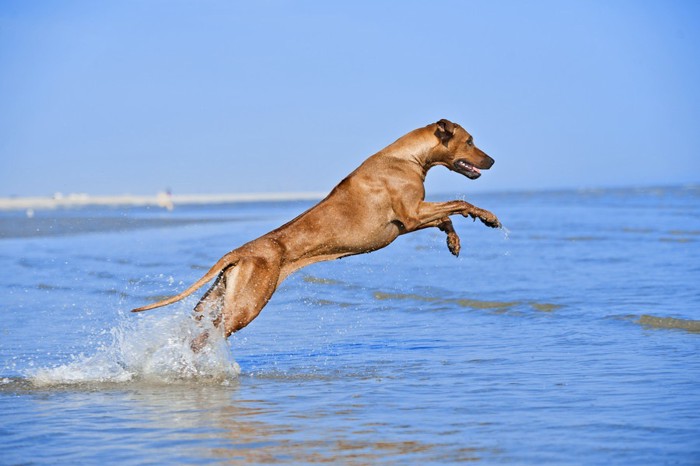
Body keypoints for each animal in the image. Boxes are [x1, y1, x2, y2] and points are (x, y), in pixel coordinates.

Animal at [131, 118, 500, 348]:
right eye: (470, 141)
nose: (493, 161)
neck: (407, 157)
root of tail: (239, 252)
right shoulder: (411, 215)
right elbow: (457, 202)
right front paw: (488, 216)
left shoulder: (414, 217)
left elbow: (446, 217)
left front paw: (454, 240)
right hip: (247, 305)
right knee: (207, 337)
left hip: (215, 298)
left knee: (196, 326)